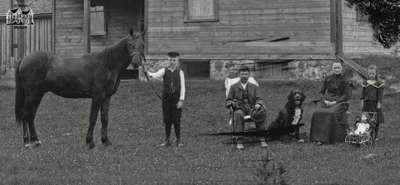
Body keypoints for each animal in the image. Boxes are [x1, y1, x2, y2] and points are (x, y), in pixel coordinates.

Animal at [14, 29, 145, 150]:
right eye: (130, 44)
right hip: (32, 94)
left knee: (31, 116)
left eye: (142, 44)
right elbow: (93, 118)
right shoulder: (97, 97)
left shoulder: (106, 97)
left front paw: (106, 141)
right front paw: (90, 142)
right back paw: (26, 142)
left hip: (38, 94)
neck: (107, 64)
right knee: (26, 115)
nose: (136, 63)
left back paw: (36, 141)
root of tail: (24, 59)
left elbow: (105, 118)